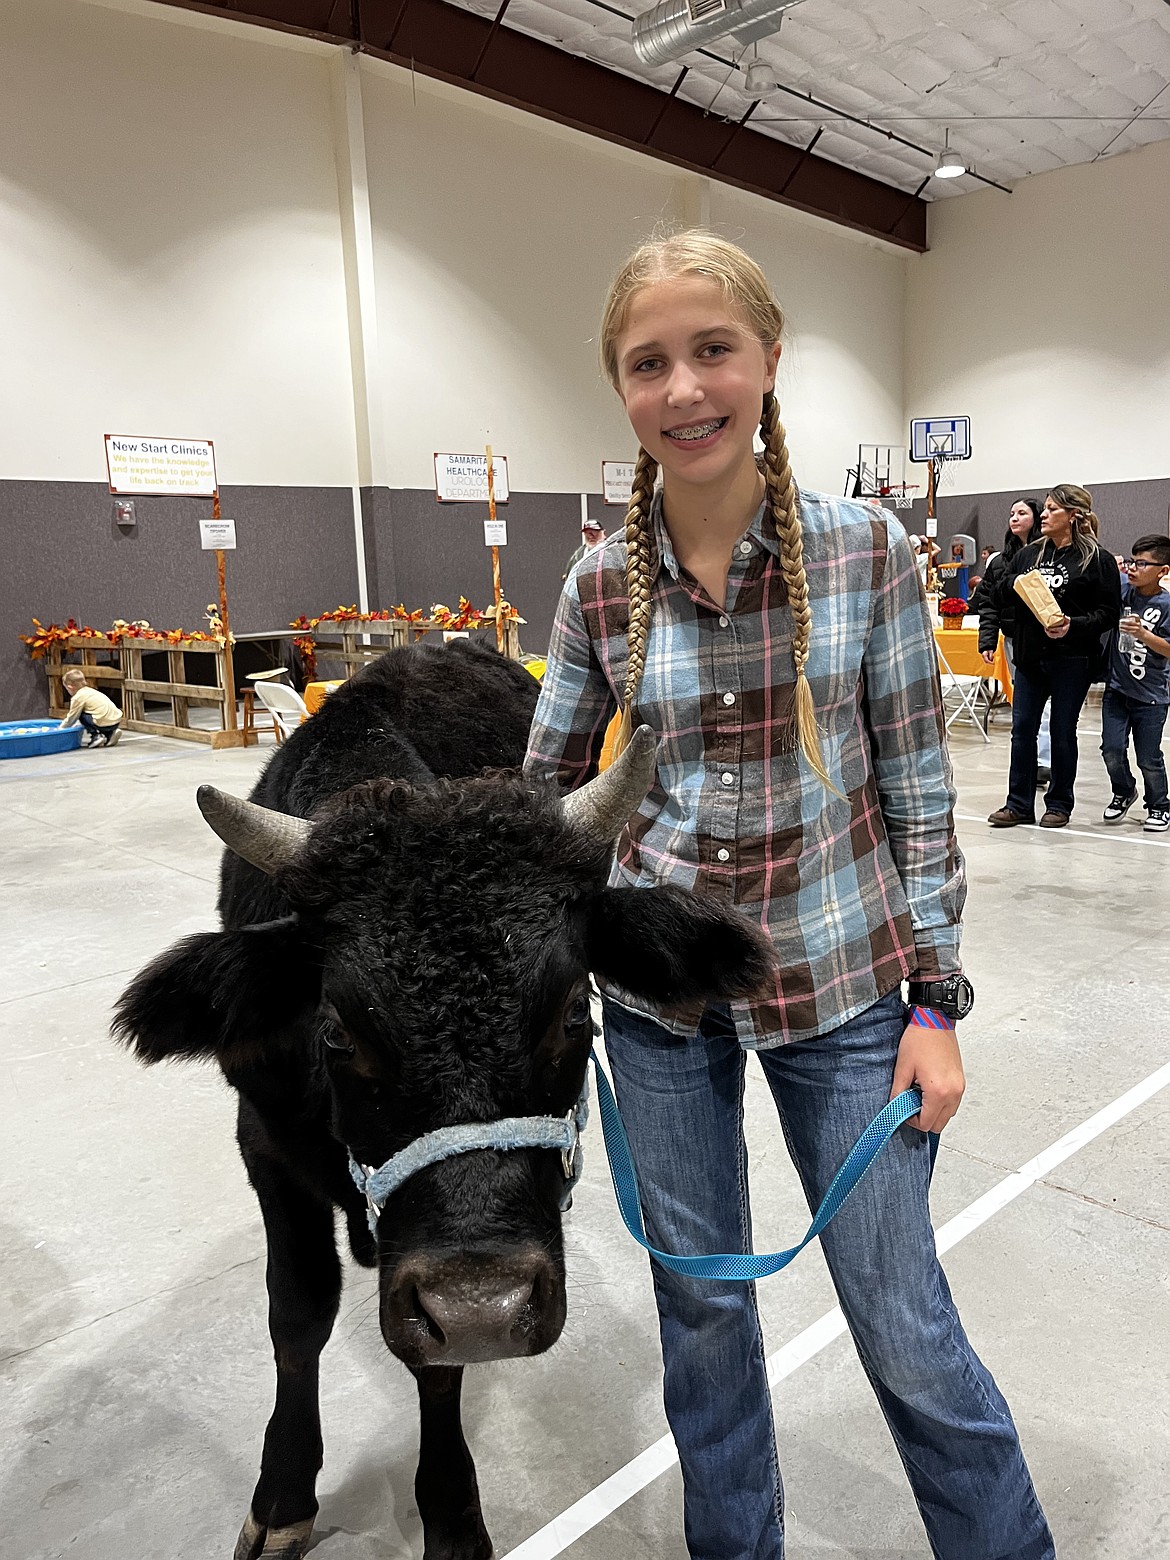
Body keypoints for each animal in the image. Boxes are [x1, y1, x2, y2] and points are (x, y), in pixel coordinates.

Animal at [113, 639, 774, 1560]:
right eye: (336, 1030)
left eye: (576, 1012)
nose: (480, 1308)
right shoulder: (265, 1145)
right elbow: (297, 1313)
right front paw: (282, 1495)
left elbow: (435, 1365)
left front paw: (452, 1513)